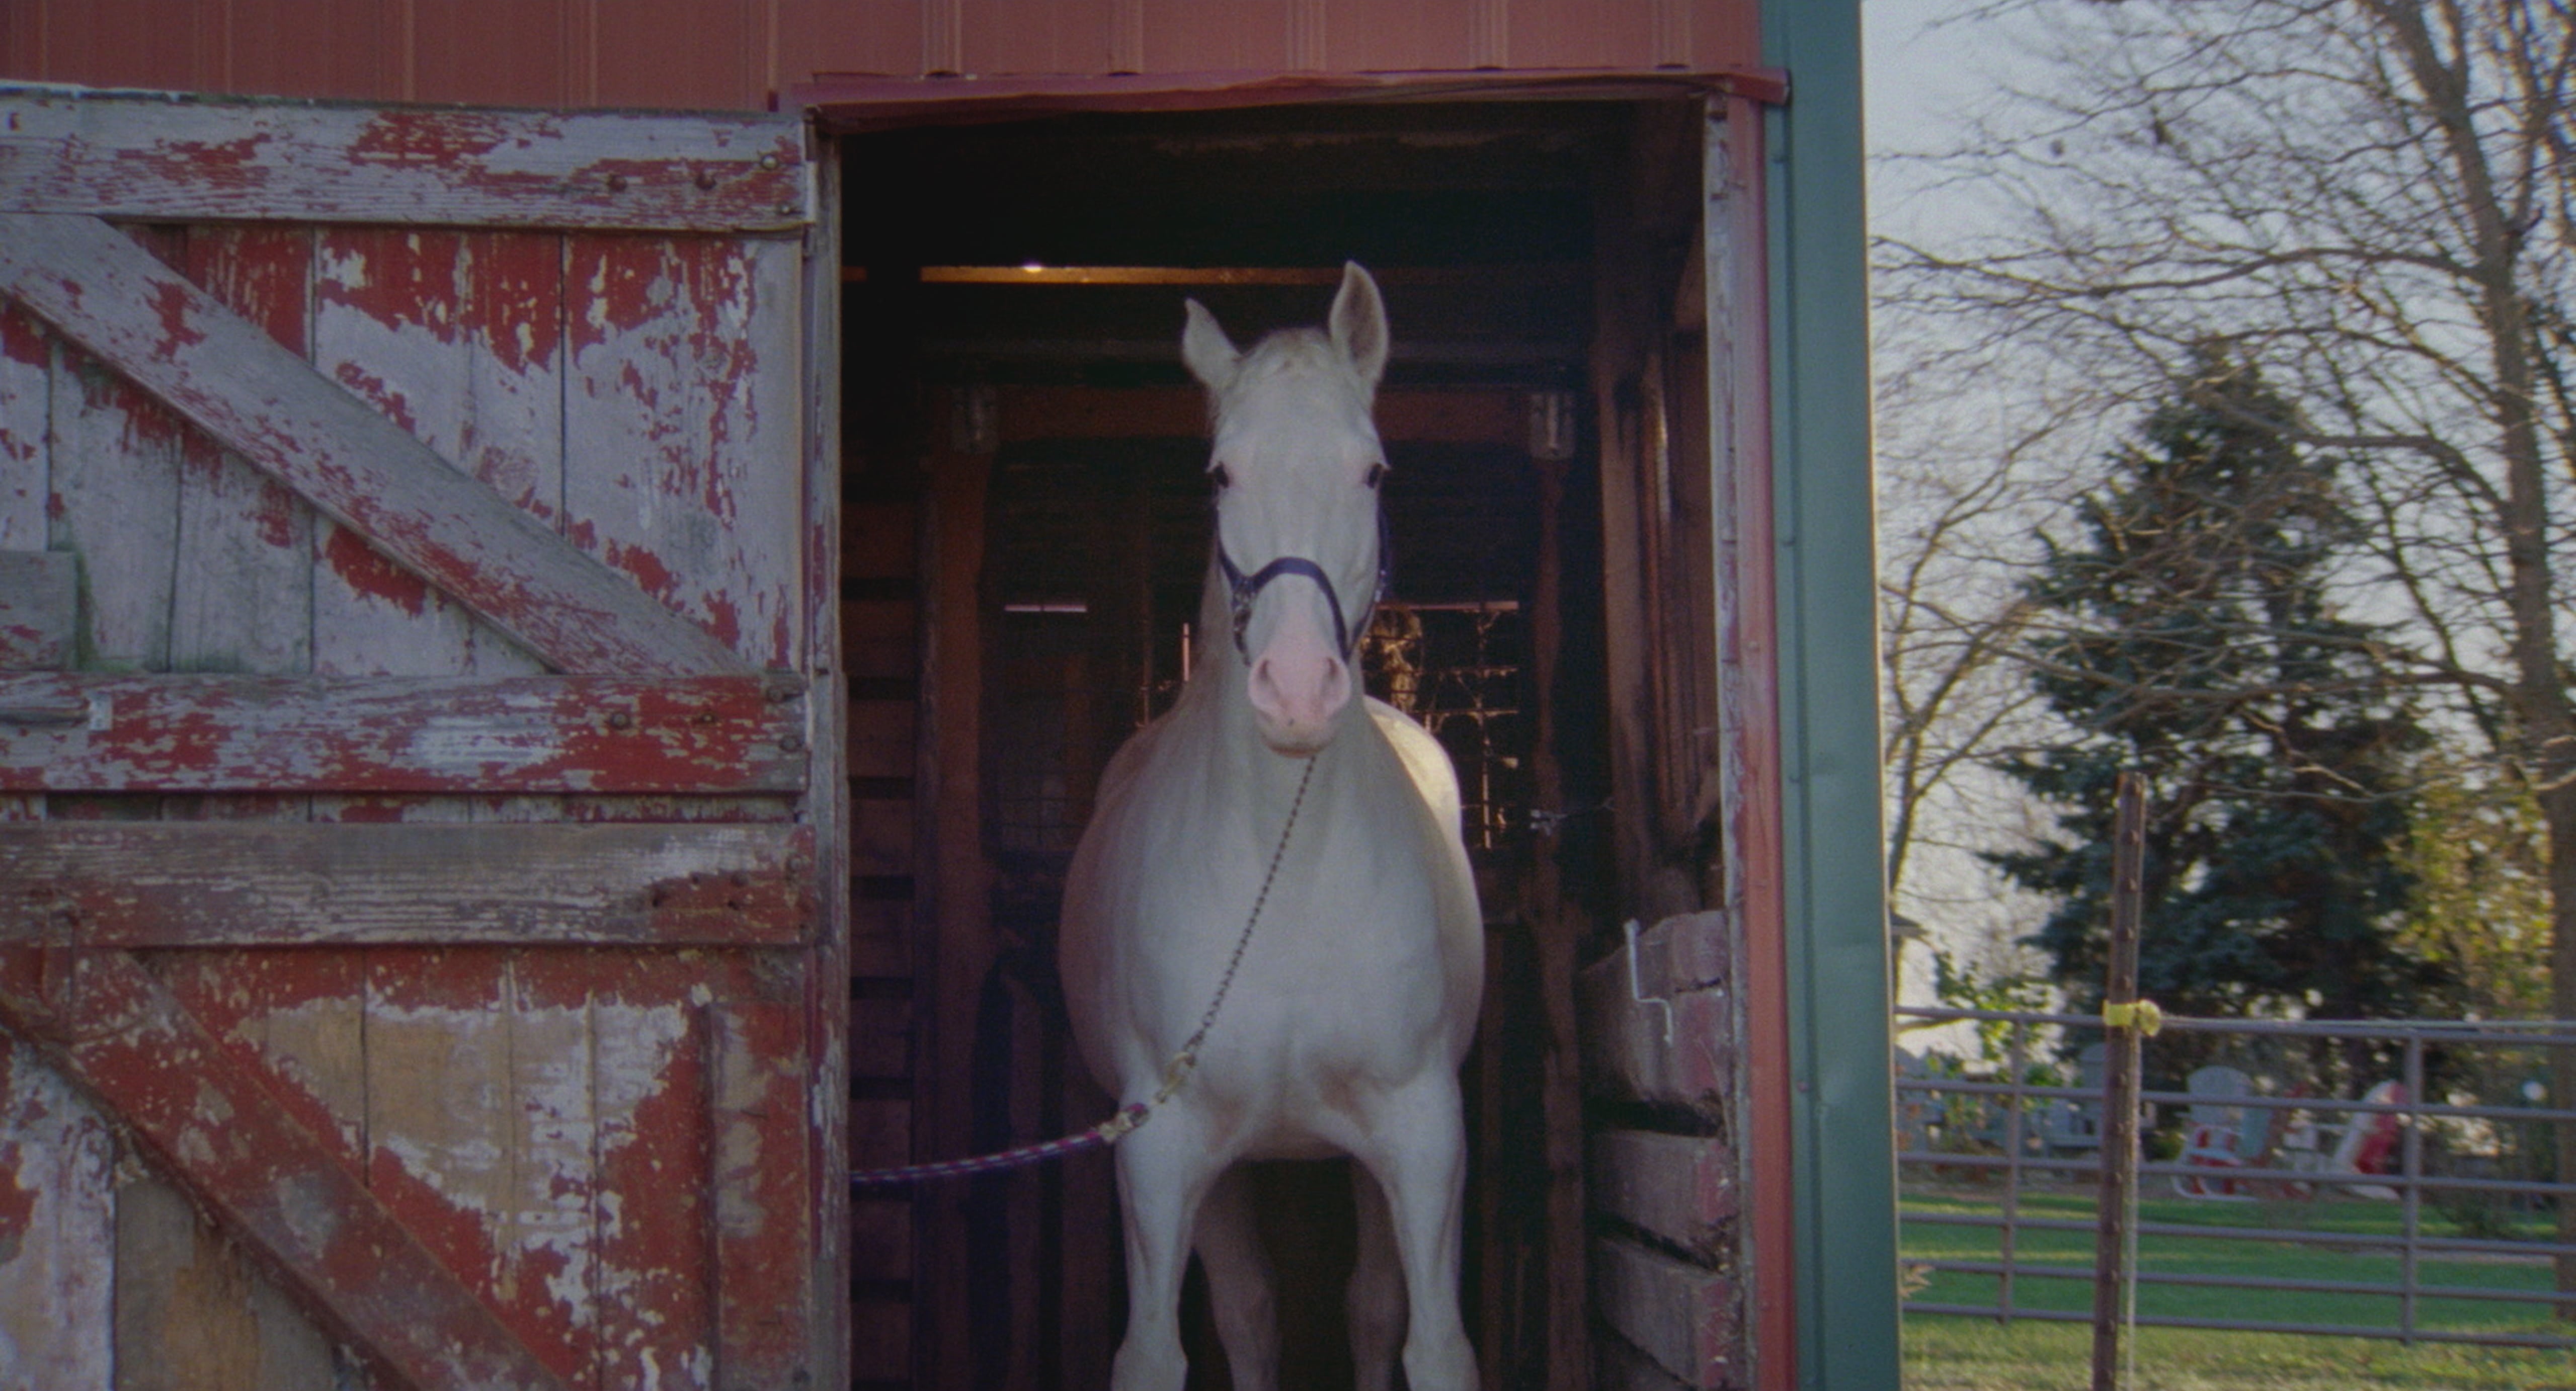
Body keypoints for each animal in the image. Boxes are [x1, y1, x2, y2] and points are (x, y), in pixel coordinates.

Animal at [1057, 263, 1485, 1391]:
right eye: (1220, 475)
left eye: (1372, 470)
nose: (1296, 689)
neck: (1280, 878)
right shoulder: (1160, 1153)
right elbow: (1164, 1350)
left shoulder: (1422, 1137)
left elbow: (1426, 1339)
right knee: (1249, 1307)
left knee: (1367, 1304)